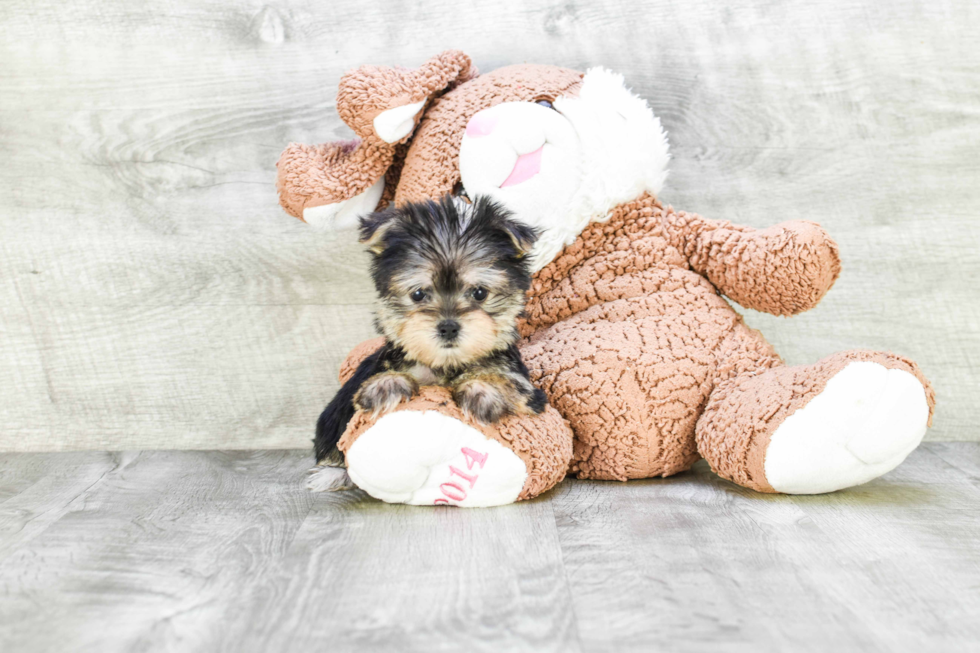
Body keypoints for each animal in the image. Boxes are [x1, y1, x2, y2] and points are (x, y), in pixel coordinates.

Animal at [308, 194, 548, 488]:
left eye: (479, 293)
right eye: (418, 294)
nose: (448, 327)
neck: (445, 363)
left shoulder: (526, 388)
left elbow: (506, 382)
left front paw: (482, 391)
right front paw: (385, 386)